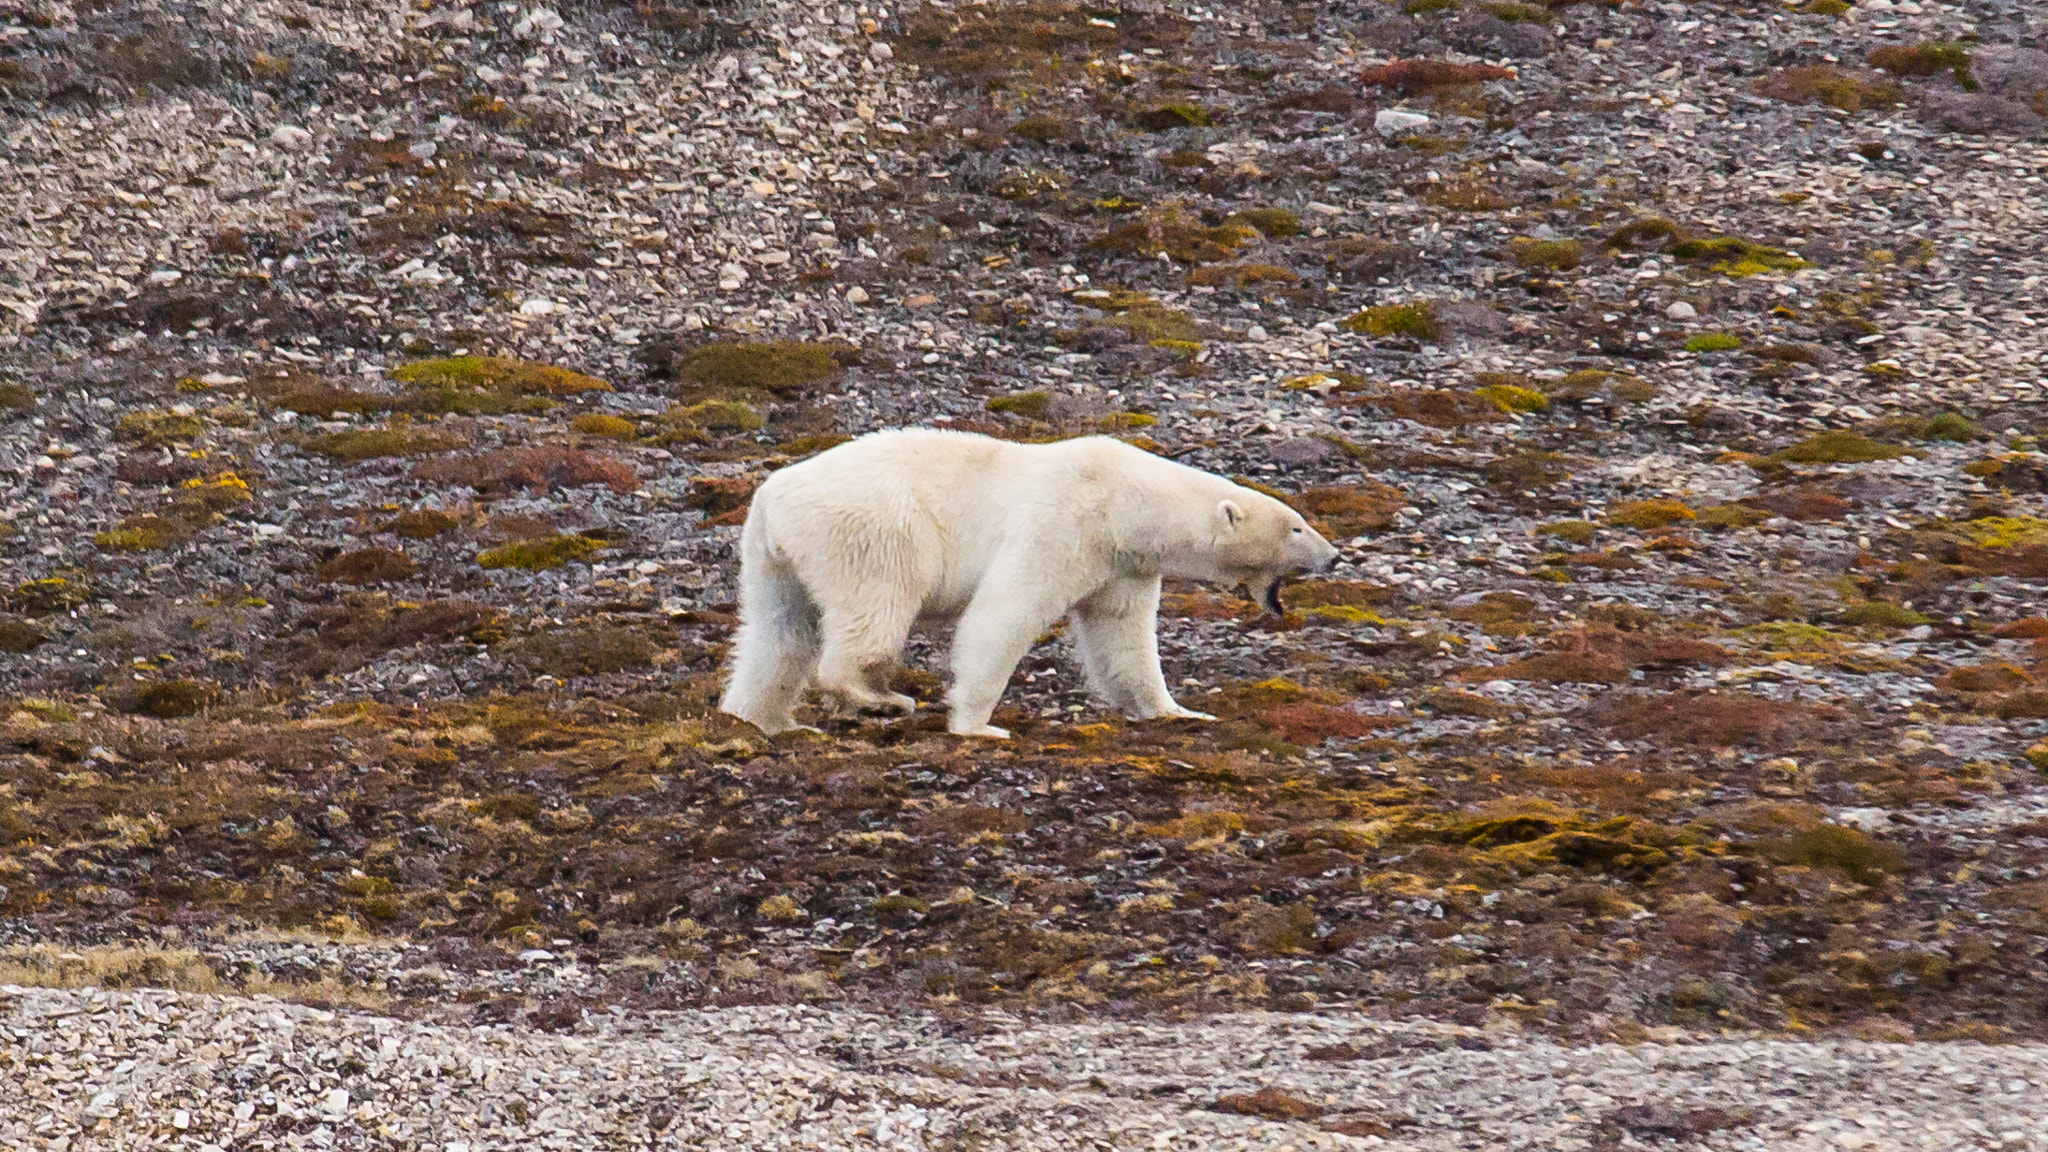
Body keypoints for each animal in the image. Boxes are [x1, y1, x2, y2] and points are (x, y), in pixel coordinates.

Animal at [720, 428, 1343, 733]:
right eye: (1297, 526)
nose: (1336, 557)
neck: (1125, 501)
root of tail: (773, 497)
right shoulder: (1065, 522)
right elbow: (1004, 613)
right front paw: (978, 726)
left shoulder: (1121, 563)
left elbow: (1123, 638)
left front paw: (1178, 711)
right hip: (874, 530)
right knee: (875, 606)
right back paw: (879, 697)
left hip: (773, 558)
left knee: (778, 630)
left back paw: (768, 719)